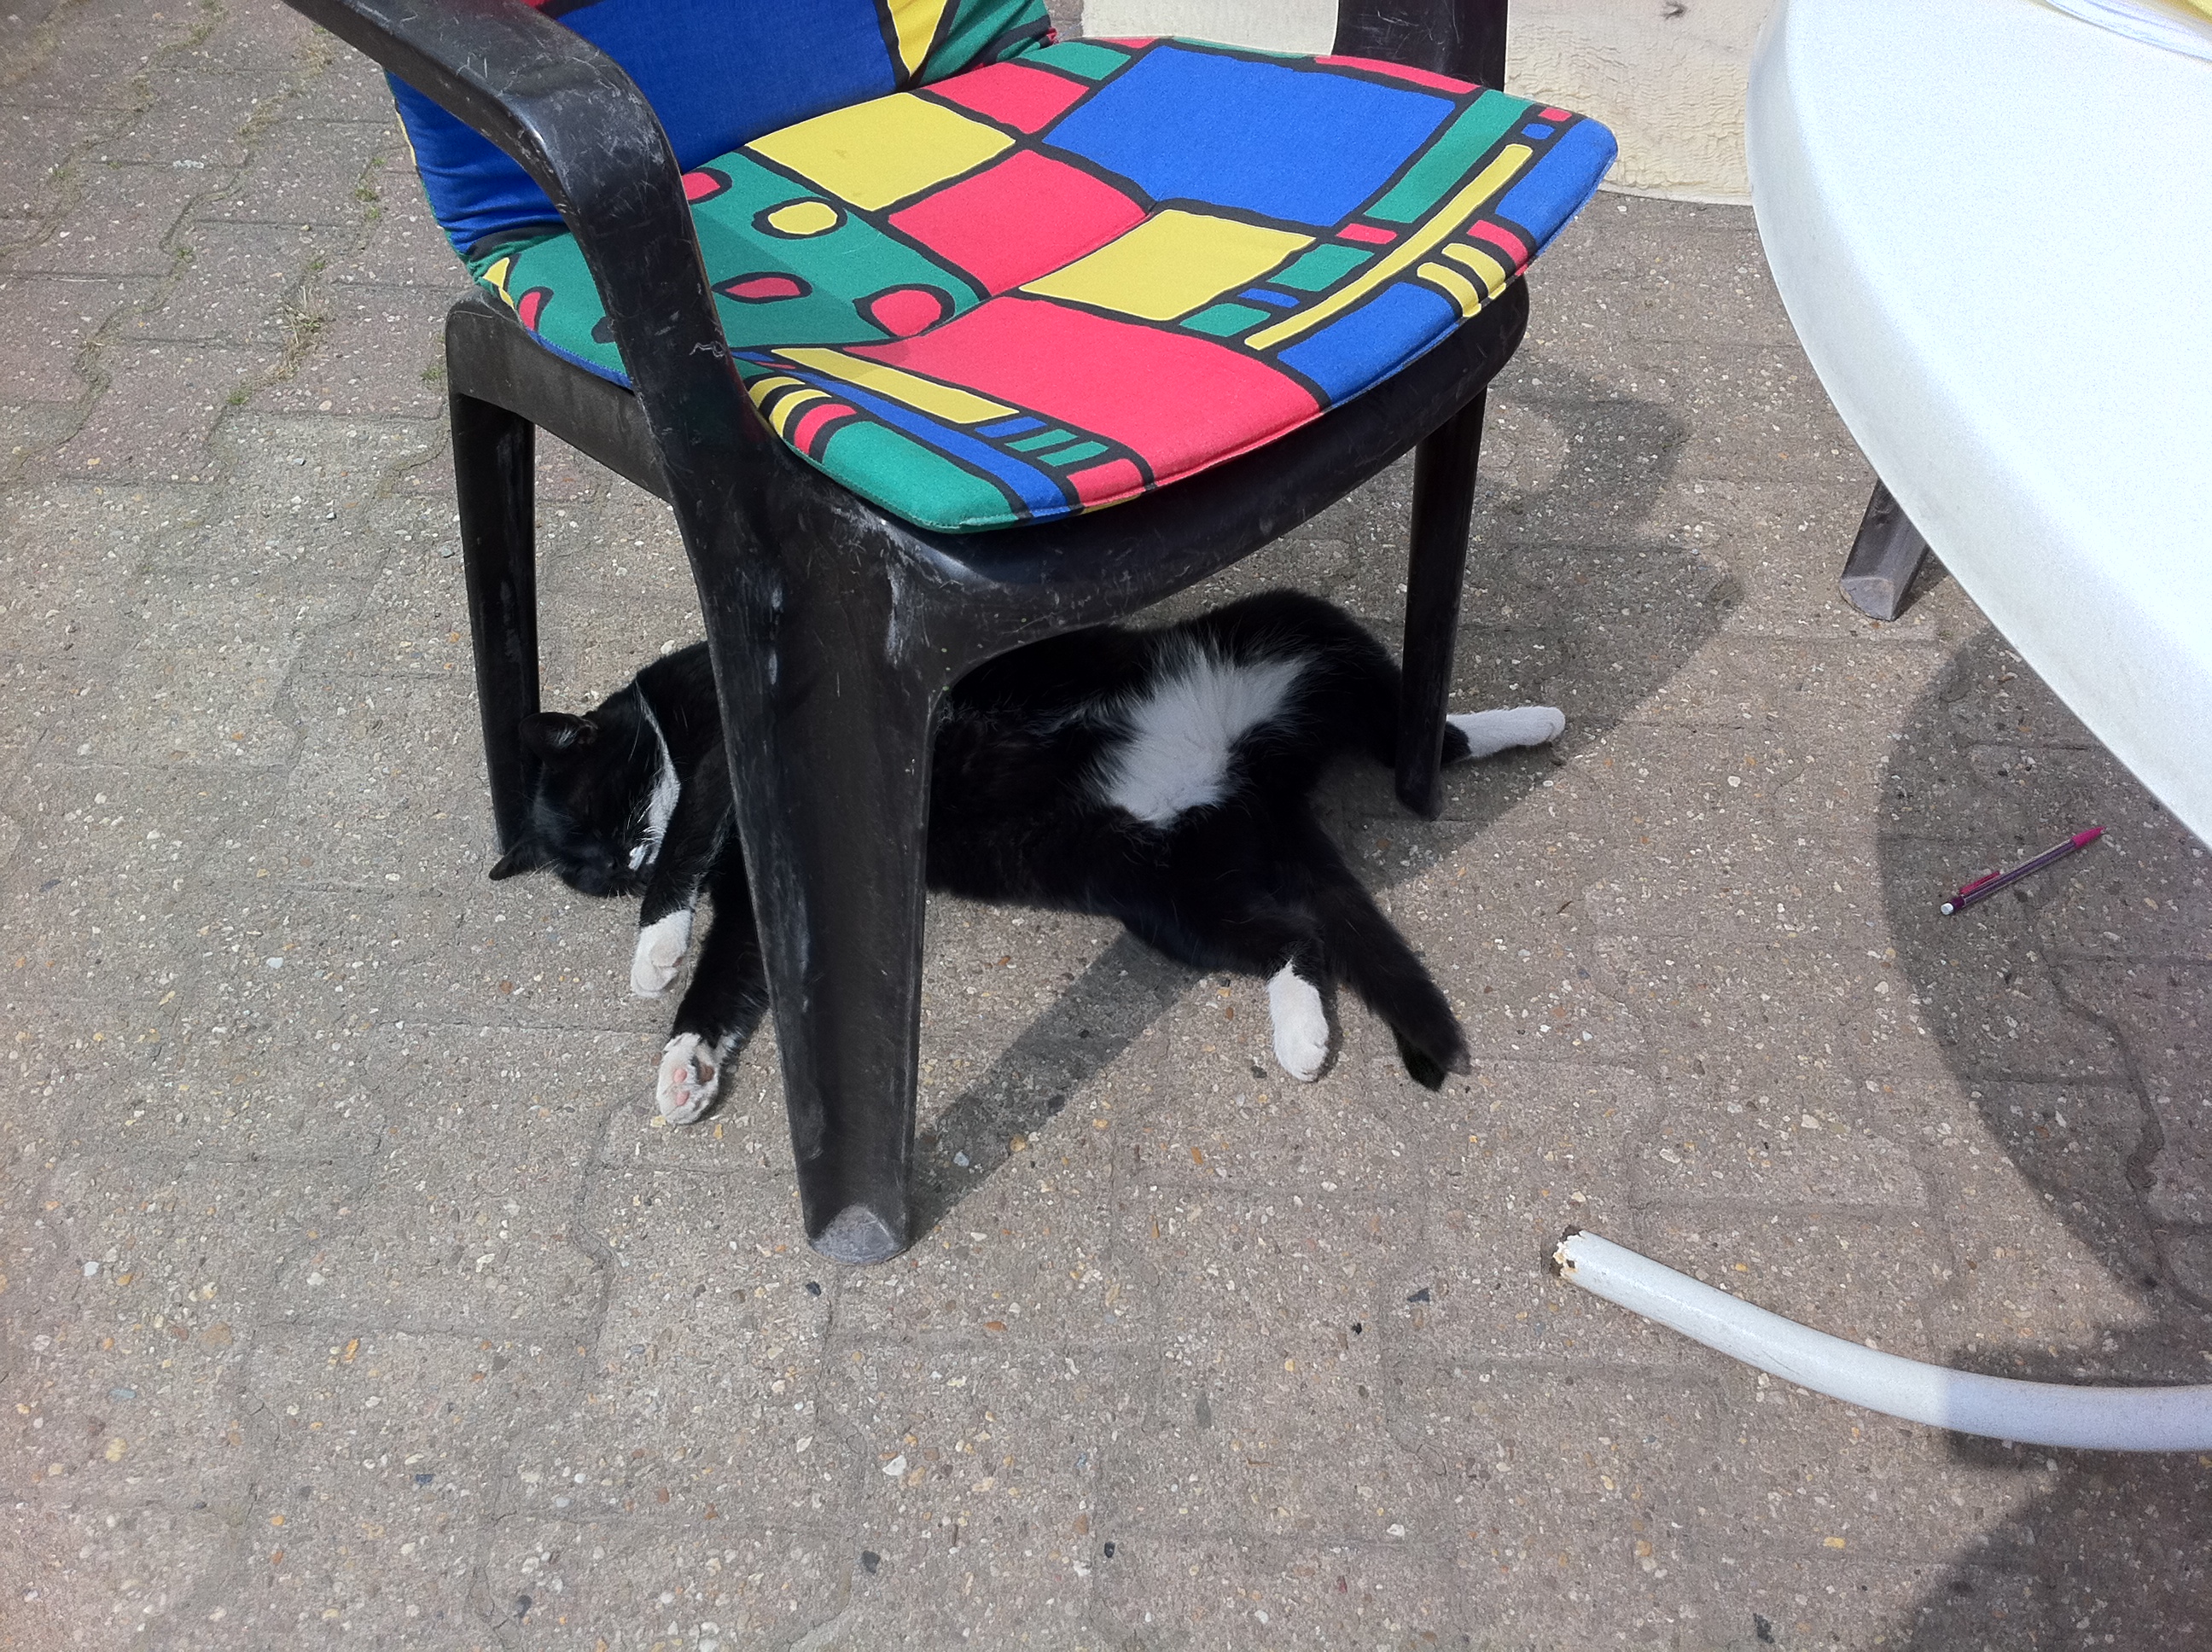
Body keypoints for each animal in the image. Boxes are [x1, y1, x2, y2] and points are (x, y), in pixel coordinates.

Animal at [488, 590, 1565, 1124]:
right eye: (592, 872)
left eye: (609, 811)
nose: (624, 863)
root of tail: (1248, 782)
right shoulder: (763, 900)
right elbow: (731, 977)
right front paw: (685, 1066)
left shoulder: (731, 748)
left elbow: (694, 830)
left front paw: (653, 947)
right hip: (1163, 890)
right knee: (1294, 934)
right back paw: (1302, 1037)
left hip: (1295, 622)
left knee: (1421, 733)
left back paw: (1533, 718)